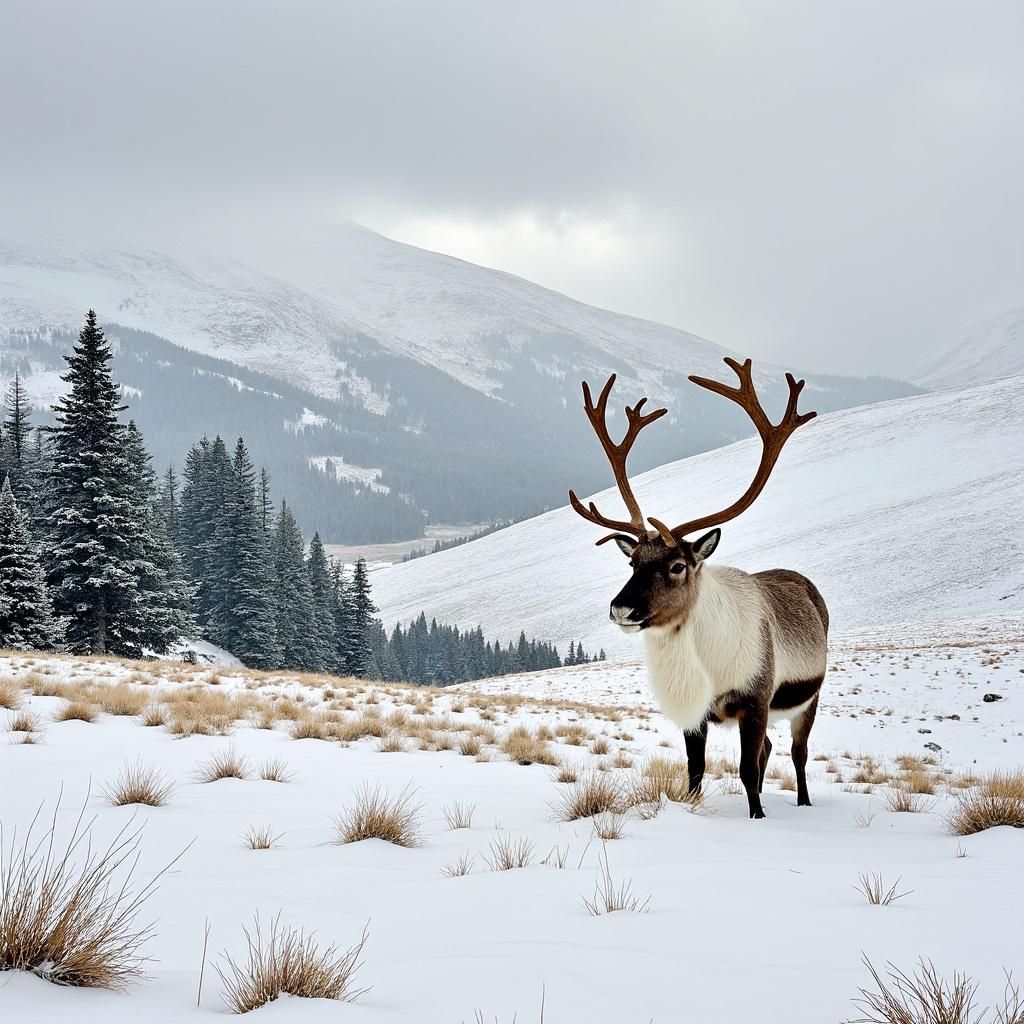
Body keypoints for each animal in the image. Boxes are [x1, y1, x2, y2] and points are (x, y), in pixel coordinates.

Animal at [569, 357, 828, 819]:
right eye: (632, 561)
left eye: (676, 566)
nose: (620, 609)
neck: (708, 664)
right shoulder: (699, 713)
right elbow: (695, 768)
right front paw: (693, 807)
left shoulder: (756, 699)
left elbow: (746, 769)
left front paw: (758, 816)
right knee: (770, 748)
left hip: (809, 698)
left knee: (797, 752)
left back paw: (803, 801)